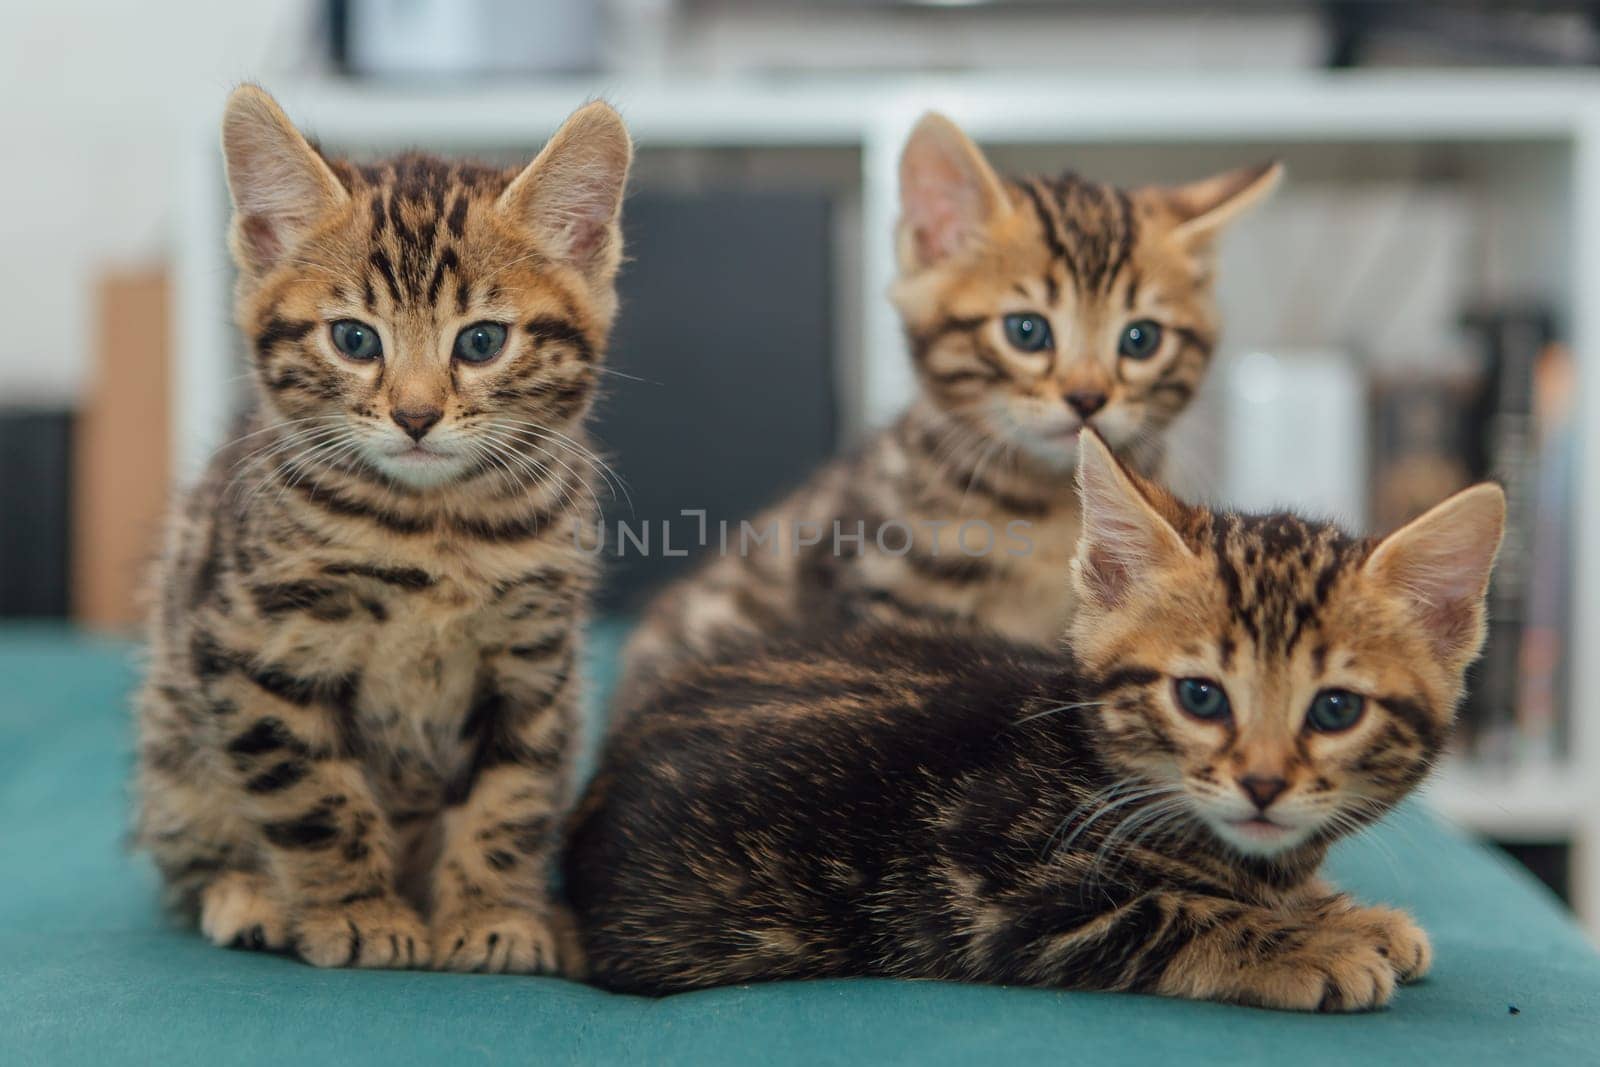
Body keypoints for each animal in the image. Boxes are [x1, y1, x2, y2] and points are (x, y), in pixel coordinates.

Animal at [132, 87, 630, 972]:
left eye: (482, 341)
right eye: (354, 338)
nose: (417, 414)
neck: (433, 529)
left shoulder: (535, 665)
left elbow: (512, 795)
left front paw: (493, 915)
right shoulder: (258, 649)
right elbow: (315, 798)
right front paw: (356, 911)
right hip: (170, 734)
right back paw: (249, 894)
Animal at [569, 431, 1504, 1011]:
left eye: (1335, 708)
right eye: (1201, 696)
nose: (1264, 782)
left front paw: (1344, 913)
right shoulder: (986, 895)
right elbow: (1168, 912)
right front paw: (1305, 945)